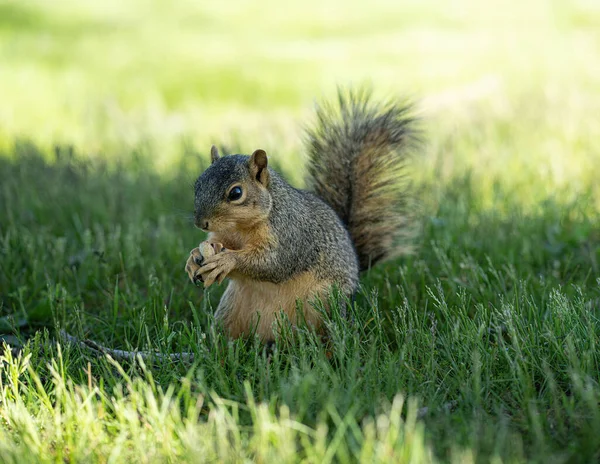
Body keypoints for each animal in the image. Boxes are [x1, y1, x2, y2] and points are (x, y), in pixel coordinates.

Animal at [185, 89, 420, 340]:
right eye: (198, 184)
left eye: (236, 193)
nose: (201, 223)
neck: (241, 226)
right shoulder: (223, 235)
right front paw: (193, 258)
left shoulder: (291, 234)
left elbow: (275, 262)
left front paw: (227, 260)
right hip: (230, 310)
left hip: (324, 302)